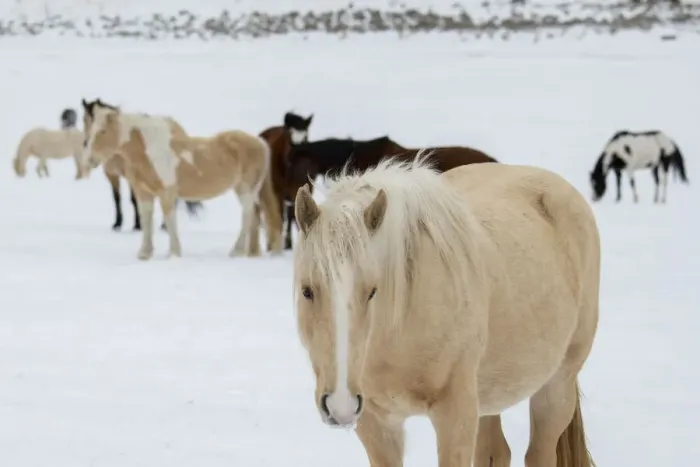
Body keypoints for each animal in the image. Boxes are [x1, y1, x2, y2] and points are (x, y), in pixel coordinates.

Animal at [81, 99, 204, 231]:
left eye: (88, 119)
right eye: (84, 119)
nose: (86, 143)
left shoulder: (132, 176)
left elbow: (134, 199)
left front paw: (138, 224)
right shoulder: (112, 175)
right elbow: (117, 198)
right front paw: (117, 223)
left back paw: (164, 225)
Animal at [258, 111, 313, 251]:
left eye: (305, 137)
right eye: (289, 137)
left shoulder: (297, 191)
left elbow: (294, 216)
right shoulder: (277, 193)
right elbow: (279, 217)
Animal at [292, 156, 599, 467]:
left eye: (372, 291)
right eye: (307, 291)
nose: (340, 405)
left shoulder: (456, 413)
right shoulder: (376, 423)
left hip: (557, 385)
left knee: (539, 452)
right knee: (495, 451)